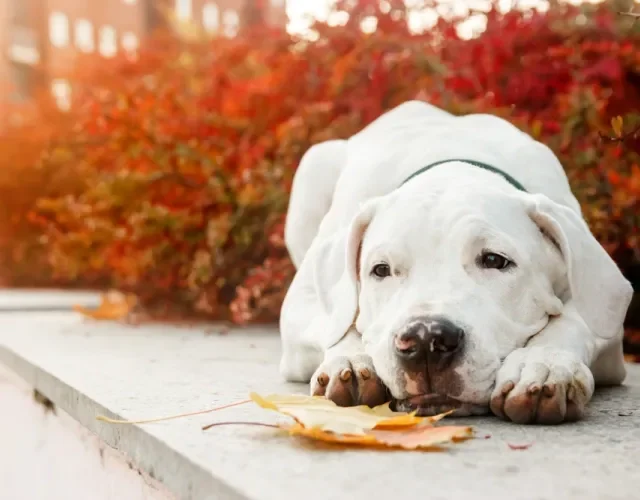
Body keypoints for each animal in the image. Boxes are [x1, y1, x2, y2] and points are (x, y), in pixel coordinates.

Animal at [278, 99, 632, 424]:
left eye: (494, 260)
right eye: (381, 270)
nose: (424, 340)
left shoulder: (604, 304)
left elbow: (576, 319)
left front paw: (543, 365)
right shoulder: (302, 304)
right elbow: (338, 325)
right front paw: (352, 360)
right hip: (314, 166)